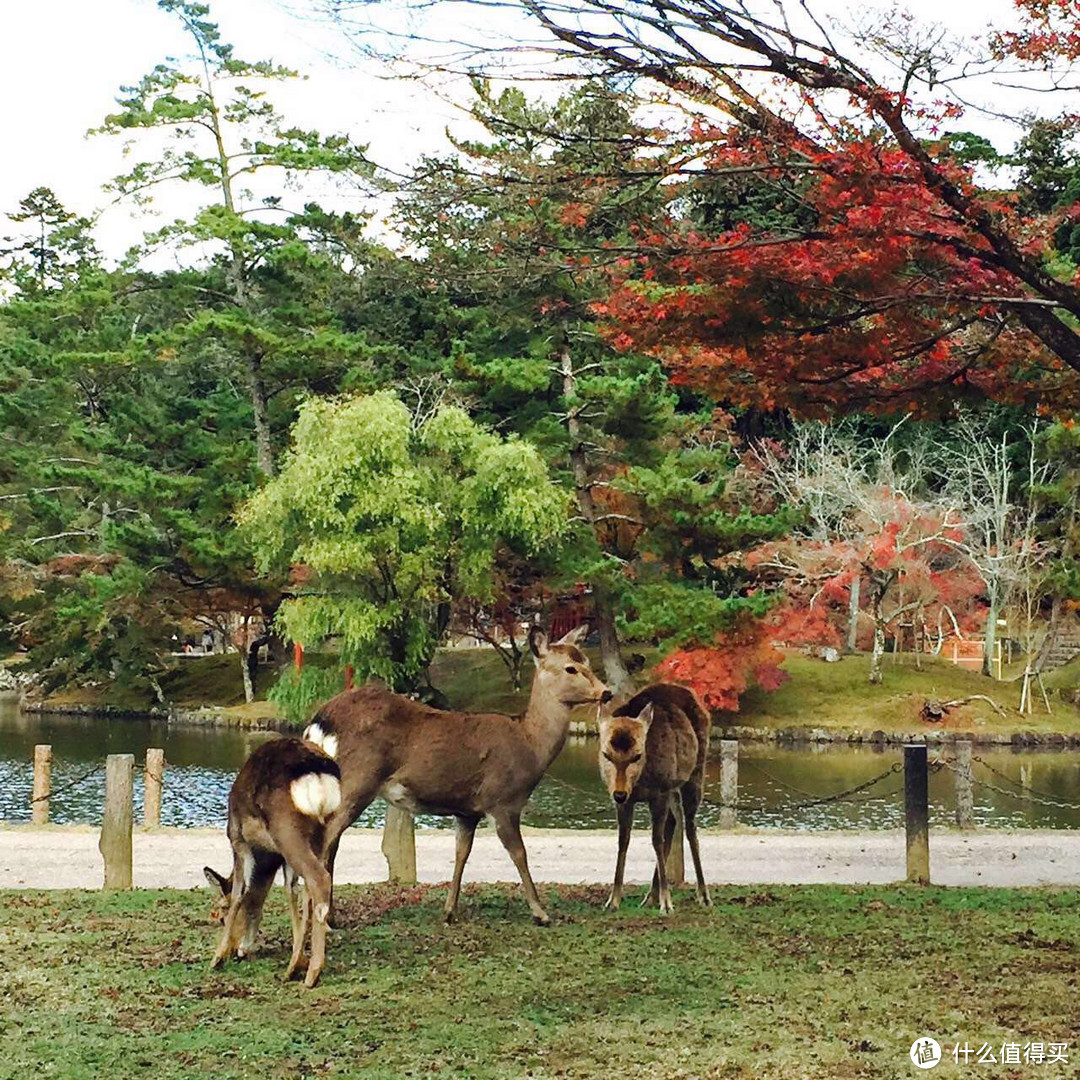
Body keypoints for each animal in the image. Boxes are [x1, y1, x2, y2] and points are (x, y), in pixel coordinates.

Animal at [201, 734, 336, 989]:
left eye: (221, 916)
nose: (236, 952)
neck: (266, 856)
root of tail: (317, 772)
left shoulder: (237, 839)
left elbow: (240, 892)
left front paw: (217, 957)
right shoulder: (279, 858)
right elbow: (290, 891)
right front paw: (295, 962)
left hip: (286, 830)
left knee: (319, 878)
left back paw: (312, 973)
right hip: (323, 833)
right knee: (313, 886)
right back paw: (299, 968)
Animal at [304, 626, 613, 928]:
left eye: (586, 660)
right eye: (571, 668)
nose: (607, 692)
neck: (529, 744)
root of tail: (319, 721)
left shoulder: (467, 811)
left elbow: (461, 853)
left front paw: (449, 911)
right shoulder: (502, 800)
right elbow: (519, 853)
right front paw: (541, 912)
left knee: (330, 842)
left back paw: (330, 915)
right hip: (357, 781)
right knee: (326, 840)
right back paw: (323, 918)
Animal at [596, 682, 712, 911]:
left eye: (637, 755)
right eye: (606, 755)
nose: (619, 793)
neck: (640, 782)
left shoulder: (660, 791)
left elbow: (656, 840)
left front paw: (667, 904)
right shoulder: (625, 802)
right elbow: (623, 841)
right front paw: (613, 900)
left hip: (695, 772)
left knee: (690, 827)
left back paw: (703, 895)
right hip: (673, 789)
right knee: (673, 821)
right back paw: (650, 896)